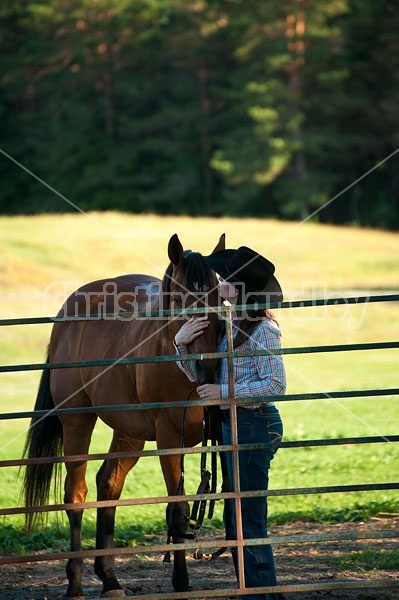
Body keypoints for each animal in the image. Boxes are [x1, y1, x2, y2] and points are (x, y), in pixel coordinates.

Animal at [22, 234, 225, 600]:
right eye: (180, 299)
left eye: (218, 296)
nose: (209, 367)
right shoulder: (169, 437)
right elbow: (178, 511)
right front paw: (181, 582)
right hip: (77, 421)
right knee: (76, 494)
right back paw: (76, 584)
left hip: (130, 431)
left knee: (109, 484)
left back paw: (110, 580)